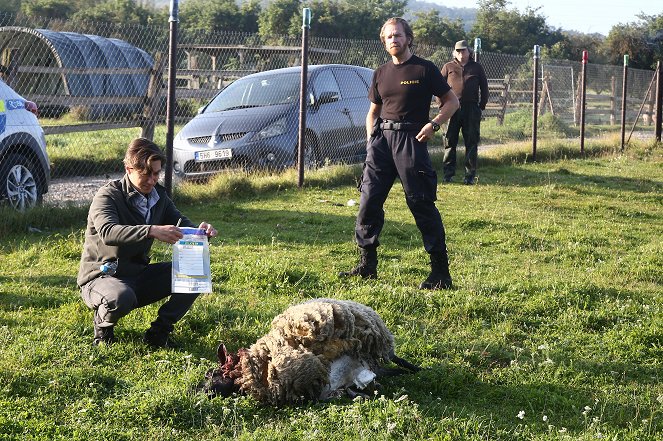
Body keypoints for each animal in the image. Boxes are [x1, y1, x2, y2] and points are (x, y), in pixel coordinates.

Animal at [202, 298, 420, 404]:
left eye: (211, 374)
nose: (199, 392)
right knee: (387, 372)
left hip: (374, 341)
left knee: (398, 361)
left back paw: (418, 370)